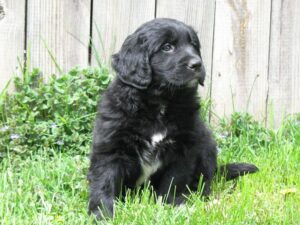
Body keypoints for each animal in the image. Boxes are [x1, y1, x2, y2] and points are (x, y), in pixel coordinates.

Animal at [86, 18, 258, 219]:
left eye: (193, 45)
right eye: (167, 47)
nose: (197, 64)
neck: (161, 103)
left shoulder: (184, 148)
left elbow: (175, 180)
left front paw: (171, 206)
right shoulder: (111, 147)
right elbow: (105, 181)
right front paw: (101, 214)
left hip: (207, 144)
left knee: (205, 180)